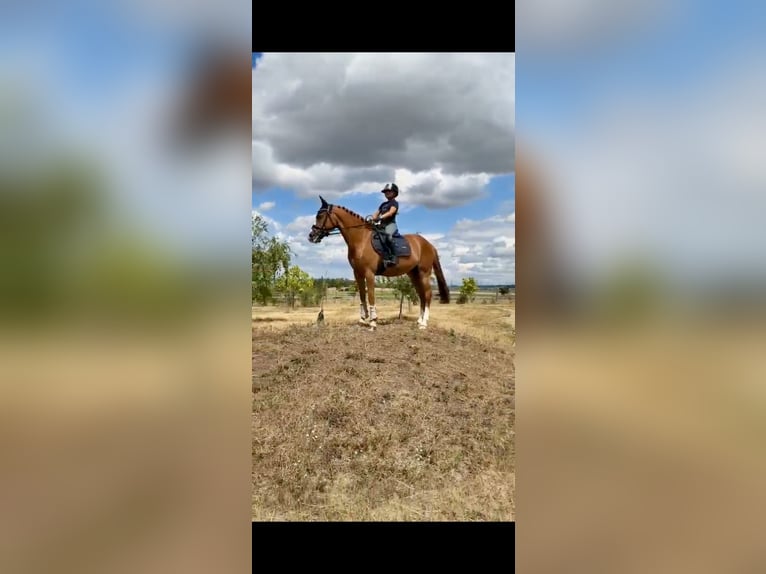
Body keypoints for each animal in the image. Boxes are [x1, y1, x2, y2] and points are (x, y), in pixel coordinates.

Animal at [308, 196, 450, 329]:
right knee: (421, 295)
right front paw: (362, 319)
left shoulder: (369, 273)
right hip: (414, 274)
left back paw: (424, 323)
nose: (311, 236)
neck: (361, 239)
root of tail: (428, 244)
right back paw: (419, 321)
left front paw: (373, 322)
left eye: (320, 216)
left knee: (428, 294)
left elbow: (371, 296)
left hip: (424, 273)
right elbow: (362, 296)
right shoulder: (357, 273)